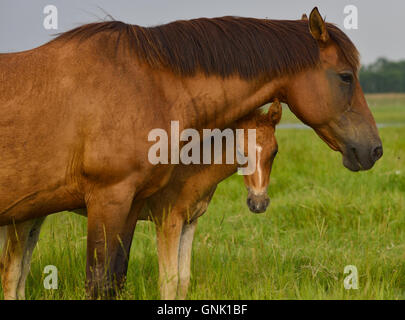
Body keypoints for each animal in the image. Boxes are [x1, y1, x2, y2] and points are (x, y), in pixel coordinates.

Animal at [0, 7, 380, 298]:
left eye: (274, 153)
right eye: (345, 76)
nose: (373, 149)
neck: (146, 86)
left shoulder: (142, 209)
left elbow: (142, 281)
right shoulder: (117, 203)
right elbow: (110, 284)